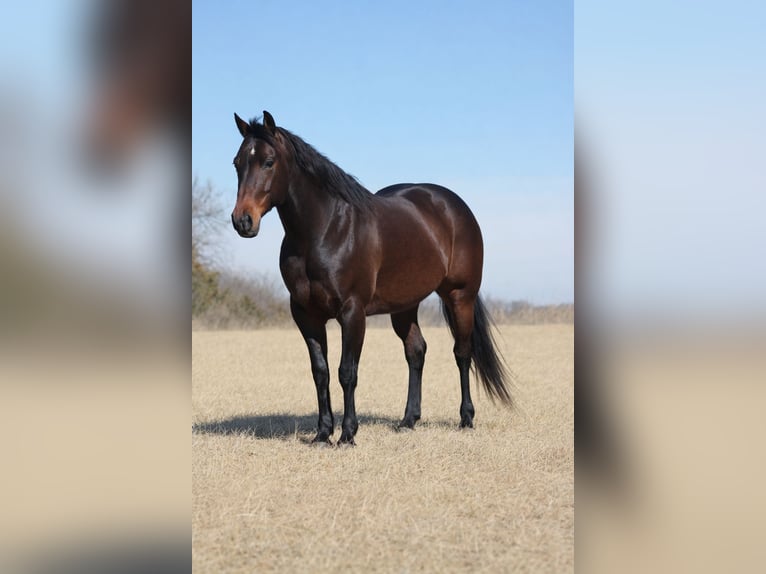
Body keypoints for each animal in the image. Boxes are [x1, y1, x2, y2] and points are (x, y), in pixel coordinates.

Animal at [231, 111, 511, 446]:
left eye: (269, 162)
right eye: (237, 163)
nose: (242, 221)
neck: (324, 230)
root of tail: (454, 206)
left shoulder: (352, 312)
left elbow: (346, 372)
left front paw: (347, 434)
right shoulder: (305, 314)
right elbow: (321, 372)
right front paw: (322, 433)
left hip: (460, 296)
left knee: (462, 352)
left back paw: (466, 419)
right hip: (405, 305)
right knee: (416, 351)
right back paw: (408, 420)